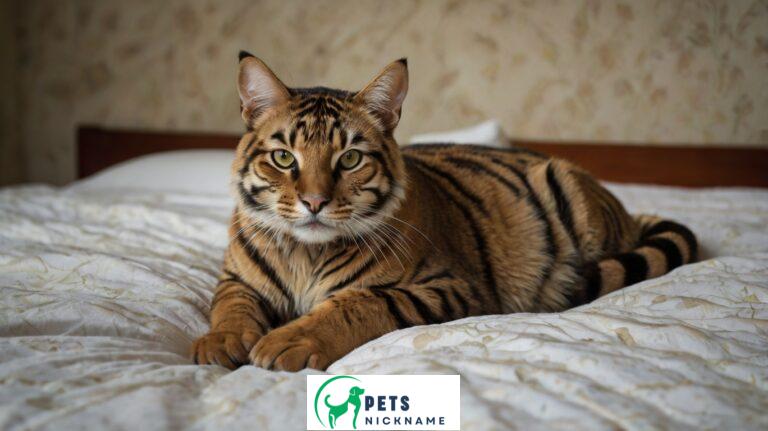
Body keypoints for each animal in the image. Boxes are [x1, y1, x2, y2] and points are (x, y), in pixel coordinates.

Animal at [190, 52, 696, 372]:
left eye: (349, 159)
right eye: (283, 158)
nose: (315, 203)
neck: (305, 252)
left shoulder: (448, 286)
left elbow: (358, 302)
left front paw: (289, 340)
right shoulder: (235, 277)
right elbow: (230, 305)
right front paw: (220, 343)